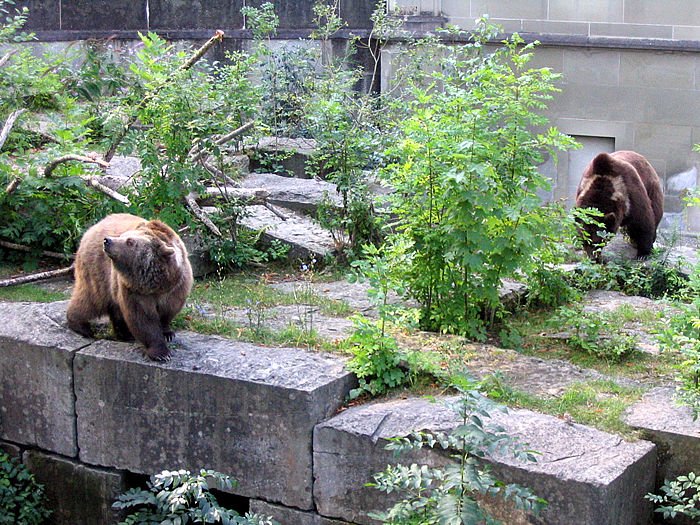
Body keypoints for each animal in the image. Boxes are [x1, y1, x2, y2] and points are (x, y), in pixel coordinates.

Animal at [67, 213, 193, 361]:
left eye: (130, 241)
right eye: (123, 236)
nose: (107, 240)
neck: (155, 283)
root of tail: (92, 228)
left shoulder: (176, 287)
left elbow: (169, 312)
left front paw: (167, 333)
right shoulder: (134, 290)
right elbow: (143, 319)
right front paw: (161, 353)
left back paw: (123, 334)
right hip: (97, 272)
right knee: (90, 299)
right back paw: (82, 326)